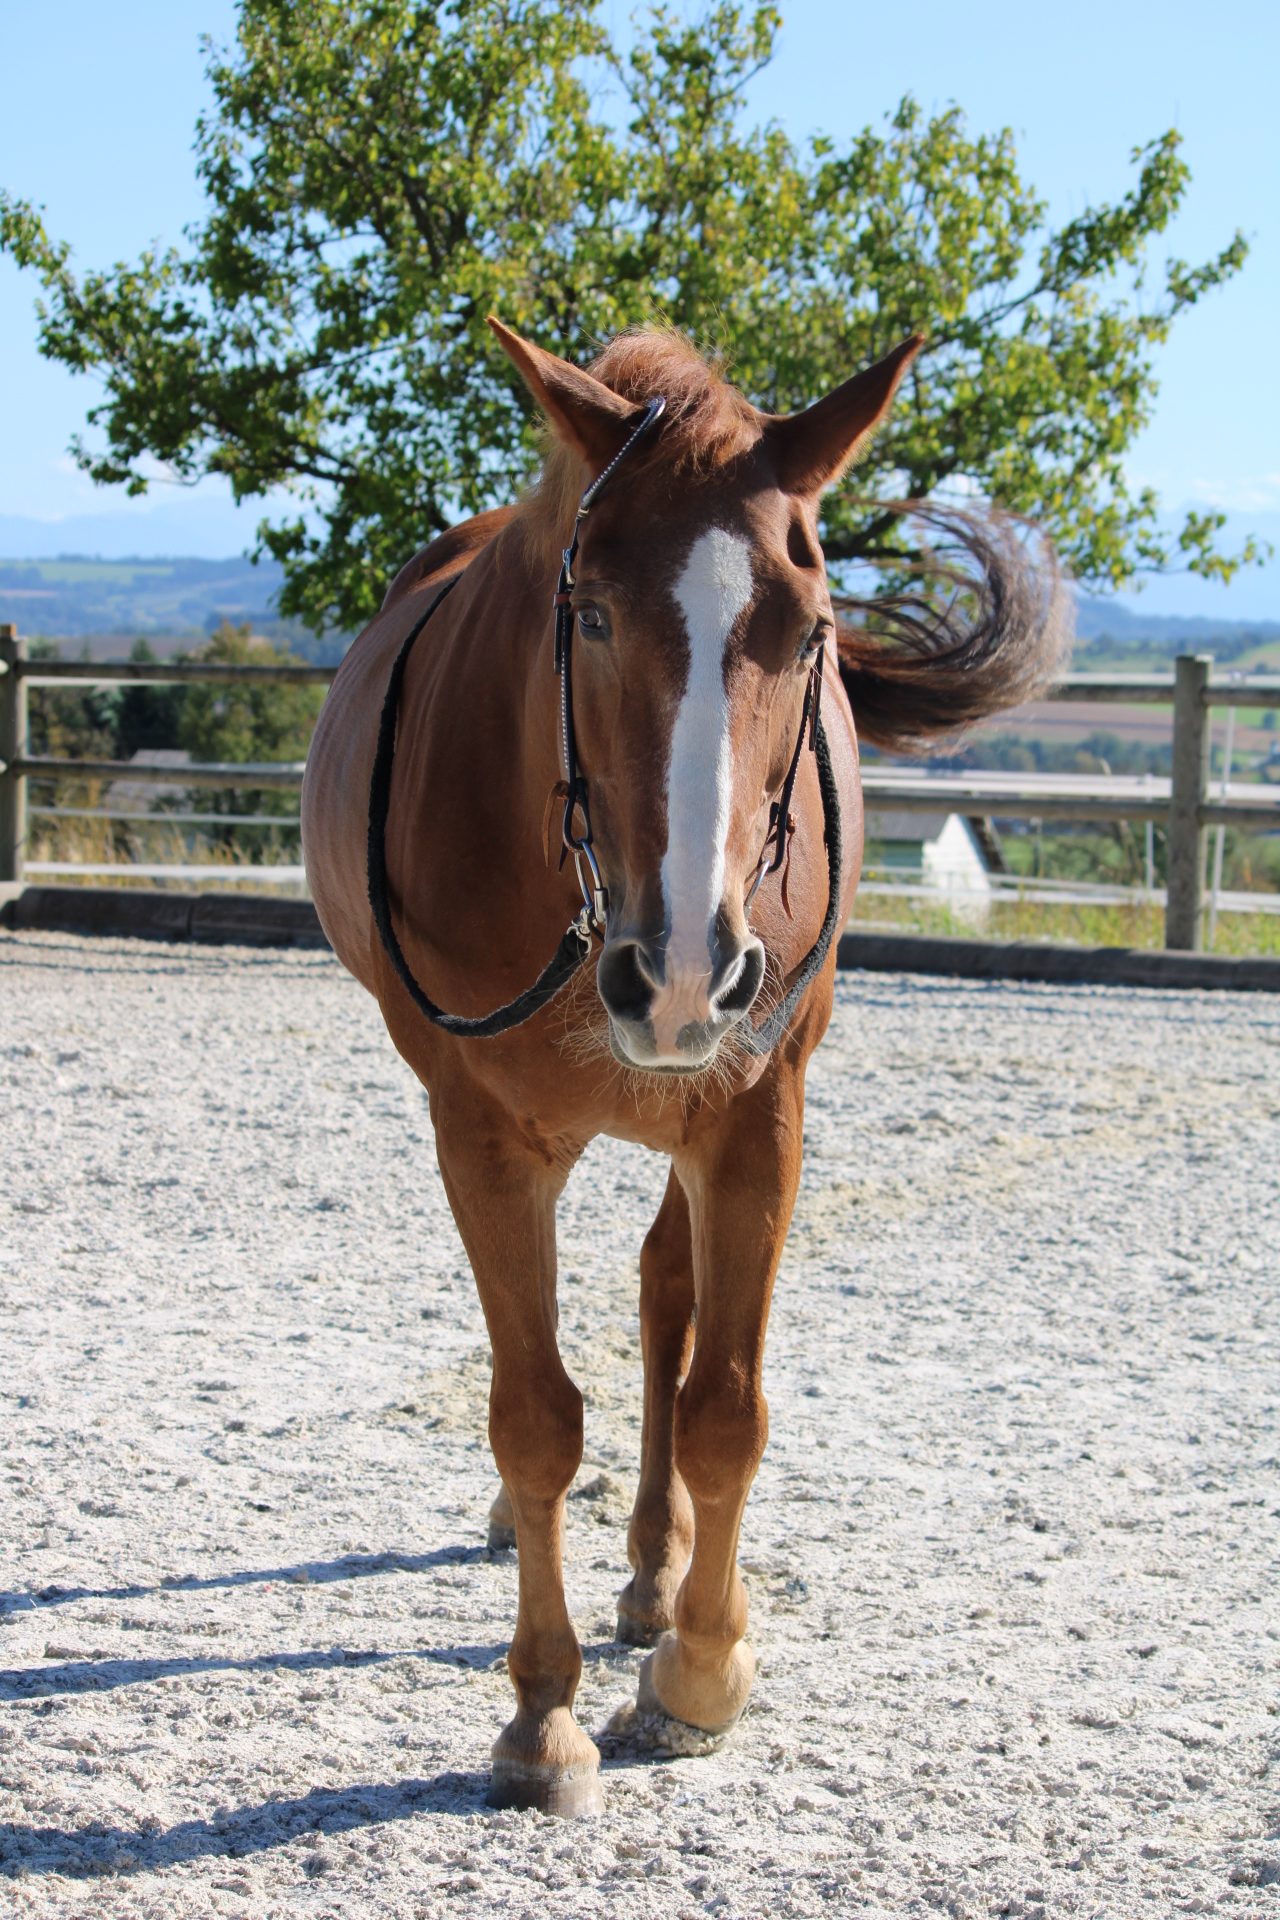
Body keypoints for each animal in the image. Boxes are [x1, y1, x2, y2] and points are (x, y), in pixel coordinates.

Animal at [301, 319, 1067, 1817]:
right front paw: (542, 1717)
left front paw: (704, 1668)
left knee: (668, 1298)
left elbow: (725, 1405)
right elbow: (533, 1413)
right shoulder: (482, 1134)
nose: (683, 973)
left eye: (810, 630)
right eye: (590, 613)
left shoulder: (755, 1114)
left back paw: (657, 1578)